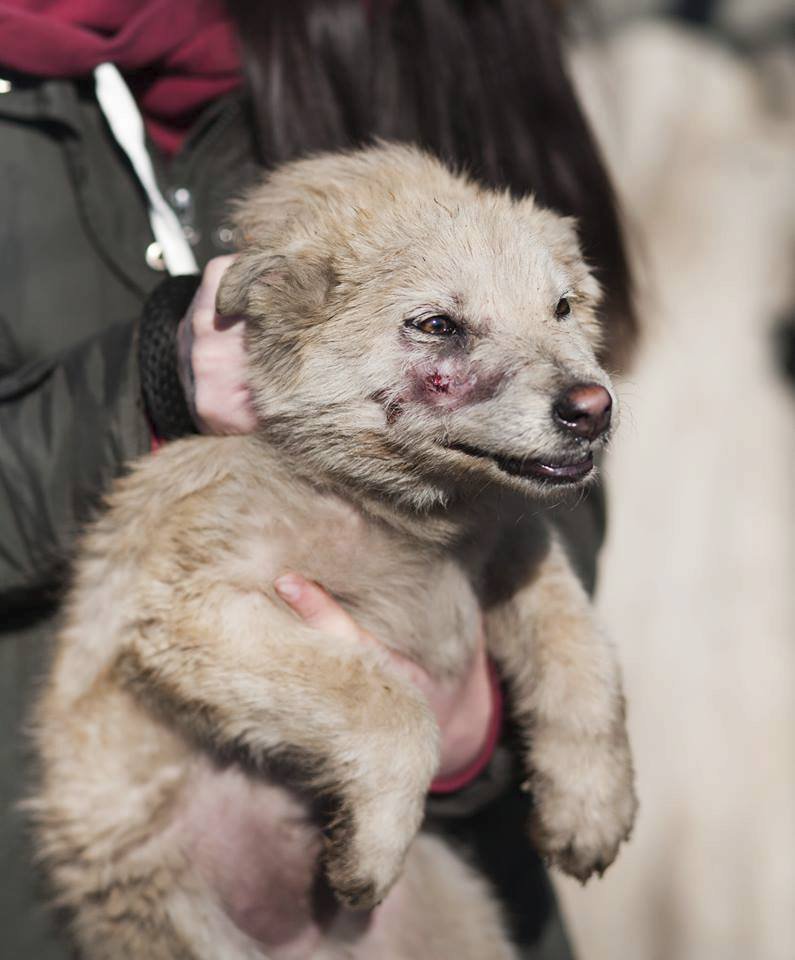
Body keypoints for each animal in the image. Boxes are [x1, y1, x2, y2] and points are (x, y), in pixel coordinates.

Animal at [31, 144, 636, 960]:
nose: (593, 409)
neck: (394, 510)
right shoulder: (187, 614)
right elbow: (389, 704)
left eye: (562, 308)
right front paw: (370, 848)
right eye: (436, 324)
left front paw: (590, 805)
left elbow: (581, 649)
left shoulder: (517, 545)